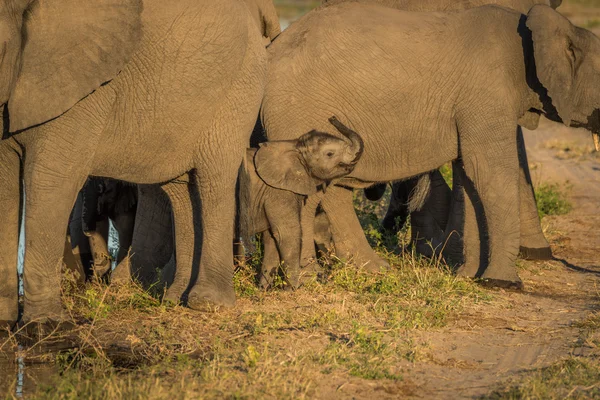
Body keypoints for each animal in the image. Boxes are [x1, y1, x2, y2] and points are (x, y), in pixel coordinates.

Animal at [0, 0, 268, 332]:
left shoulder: (82, 93)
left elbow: (51, 178)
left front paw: (45, 327)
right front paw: (5, 322)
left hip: (238, 89)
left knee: (213, 180)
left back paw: (207, 304)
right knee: (181, 189)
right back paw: (175, 298)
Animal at [240, 115, 366, 288]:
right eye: (330, 154)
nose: (332, 118)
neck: (295, 146)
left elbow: (271, 238)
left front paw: (264, 290)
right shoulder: (277, 192)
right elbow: (286, 233)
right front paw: (293, 289)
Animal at [262, 3, 600, 290]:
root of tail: (272, 48)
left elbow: (470, 176)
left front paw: (469, 276)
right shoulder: (488, 94)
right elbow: (489, 173)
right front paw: (503, 284)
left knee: (333, 192)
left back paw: (374, 269)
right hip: (298, 113)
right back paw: (312, 277)